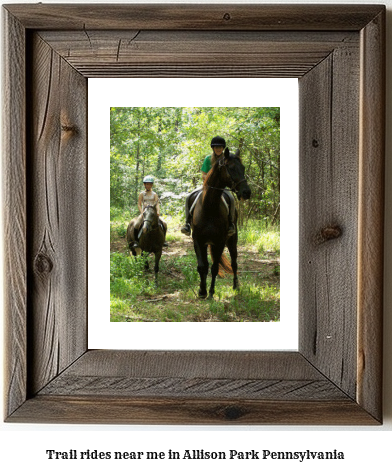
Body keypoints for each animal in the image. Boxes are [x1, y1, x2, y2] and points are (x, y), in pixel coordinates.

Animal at [190, 148, 251, 298]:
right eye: (231, 168)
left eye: (243, 168)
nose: (247, 192)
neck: (209, 206)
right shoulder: (198, 240)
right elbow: (202, 266)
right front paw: (202, 291)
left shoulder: (220, 241)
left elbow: (215, 267)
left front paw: (211, 292)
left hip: (232, 240)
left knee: (234, 262)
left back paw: (236, 285)